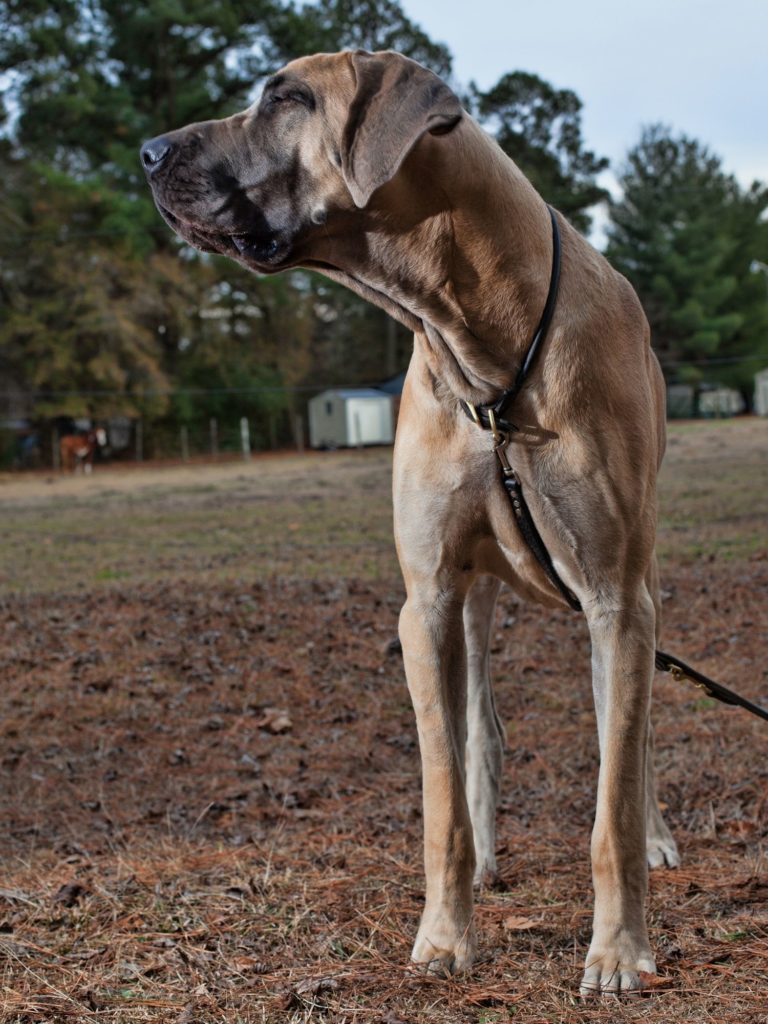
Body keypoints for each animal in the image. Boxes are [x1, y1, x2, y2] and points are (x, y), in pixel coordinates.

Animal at [141, 46, 684, 991]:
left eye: (286, 97)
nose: (147, 151)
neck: (485, 347)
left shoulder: (617, 598)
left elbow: (612, 795)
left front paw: (618, 950)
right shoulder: (427, 599)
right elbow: (442, 794)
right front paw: (444, 934)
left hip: (634, 591)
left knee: (635, 737)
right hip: (471, 598)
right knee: (481, 734)